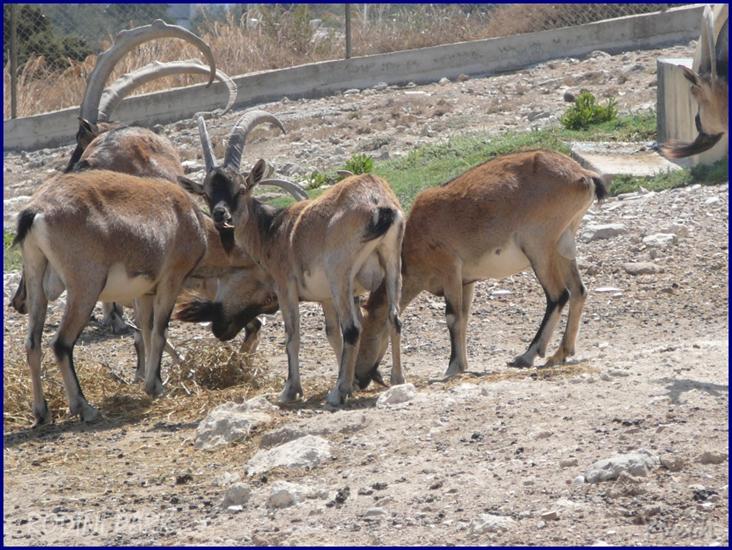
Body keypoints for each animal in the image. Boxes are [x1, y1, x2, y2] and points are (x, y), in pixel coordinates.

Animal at [178, 113, 406, 406]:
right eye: (206, 193)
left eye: (241, 189)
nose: (221, 216)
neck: (272, 229)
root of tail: (378, 203)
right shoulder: (326, 297)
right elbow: (332, 334)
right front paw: (352, 382)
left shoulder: (285, 286)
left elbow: (293, 335)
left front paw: (291, 389)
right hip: (391, 264)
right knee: (393, 318)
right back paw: (397, 380)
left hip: (339, 274)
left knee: (353, 328)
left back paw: (337, 395)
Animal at [348, 149, 608, 390]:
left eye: (370, 333)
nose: (360, 378)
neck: (414, 238)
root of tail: (583, 175)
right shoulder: (467, 281)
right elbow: (464, 318)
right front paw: (462, 364)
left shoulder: (450, 269)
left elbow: (452, 317)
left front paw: (452, 367)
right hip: (563, 245)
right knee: (579, 291)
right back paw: (560, 353)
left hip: (539, 247)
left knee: (558, 295)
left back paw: (527, 356)